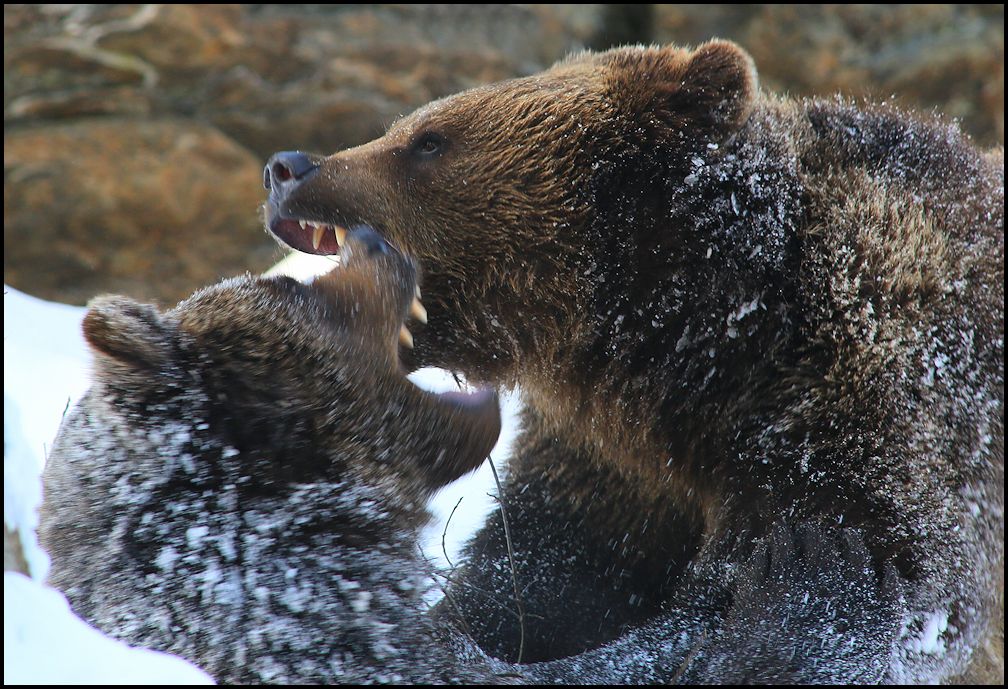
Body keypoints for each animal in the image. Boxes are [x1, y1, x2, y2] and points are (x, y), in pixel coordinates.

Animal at [264, 40, 1003, 680]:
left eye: (429, 140)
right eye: (406, 127)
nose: (287, 167)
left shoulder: (876, 401)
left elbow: (875, 586)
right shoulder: (614, 466)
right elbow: (540, 576)